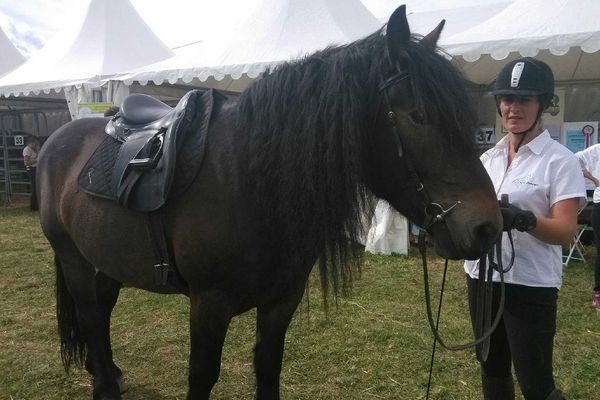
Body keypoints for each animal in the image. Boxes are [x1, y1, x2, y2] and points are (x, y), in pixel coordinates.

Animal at [36, 6, 502, 400]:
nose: (489, 227)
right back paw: (105, 387)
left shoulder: (282, 301)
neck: (249, 181)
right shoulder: (209, 305)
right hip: (73, 257)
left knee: (101, 311)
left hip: (106, 258)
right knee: (90, 314)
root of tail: (58, 140)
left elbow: (268, 367)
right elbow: (201, 376)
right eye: (418, 116)